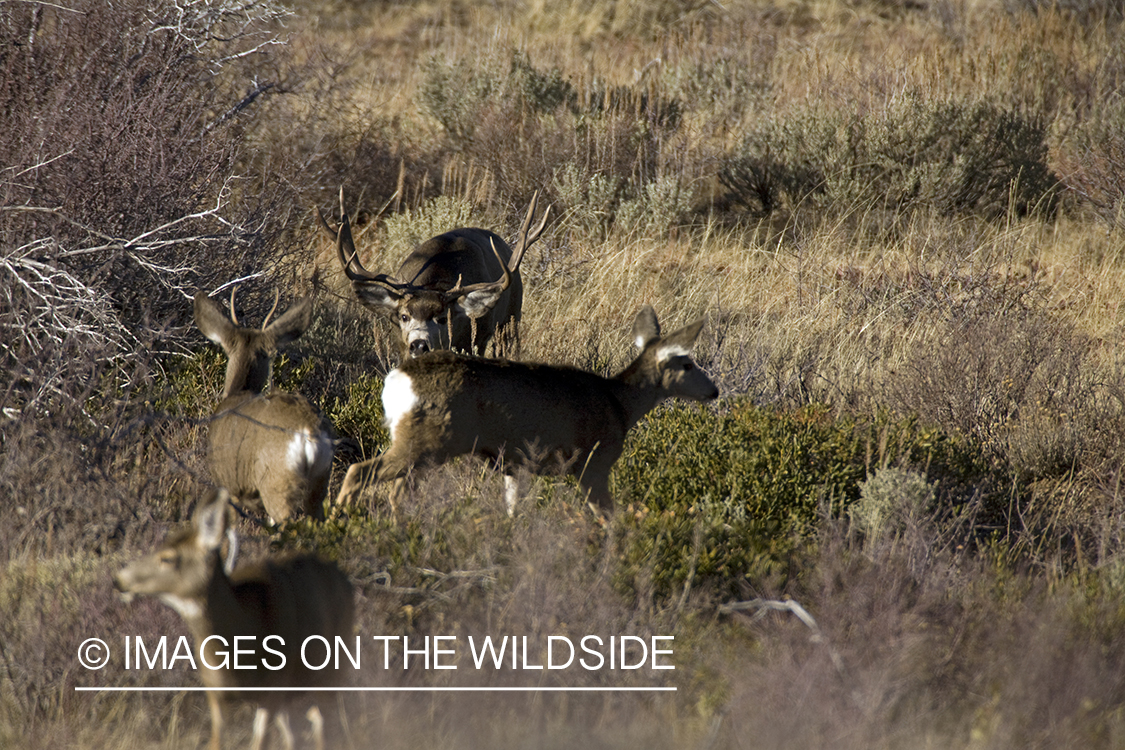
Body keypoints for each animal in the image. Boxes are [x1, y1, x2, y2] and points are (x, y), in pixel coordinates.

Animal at [114, 488, 356, 750]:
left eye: (168, 558)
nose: (119, 579)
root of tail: (344, 577)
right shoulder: (214, 690)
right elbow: (217, 740)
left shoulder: (273, 688)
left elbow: (260, 742)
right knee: (296, 734)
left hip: (333, 668)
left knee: (323, 726)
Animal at [318, 190, 550, 359]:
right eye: (404, 316)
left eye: (442, 318)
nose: (419, 345)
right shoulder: (400, 343)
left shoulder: (474, 341)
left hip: (510, 319)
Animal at [334, 305, 719, 515]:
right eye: (687, 363)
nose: (713, 391)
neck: (619, 403)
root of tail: (397, 380)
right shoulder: (593, 463)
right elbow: (608, 518)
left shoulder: (515, 465)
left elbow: (512, 508)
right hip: (425, 439)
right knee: (359, 472)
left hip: (425, 447)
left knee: (395, 492)